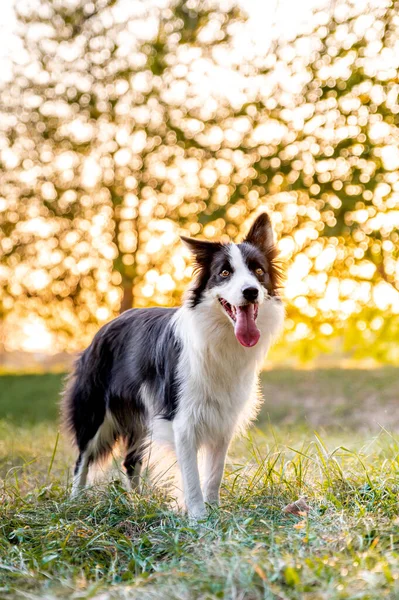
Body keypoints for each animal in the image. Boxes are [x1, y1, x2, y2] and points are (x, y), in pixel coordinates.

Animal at [62, 213, 284, 516]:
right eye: (225, 273)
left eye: (258, 271)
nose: (250, 292)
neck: (219, 337)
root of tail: (107, 325)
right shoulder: (183, 420)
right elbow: (192, 478)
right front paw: (200, 518)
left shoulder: (222, 420)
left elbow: (213, 475)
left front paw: (215, 513)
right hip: (94, 410)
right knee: (82, 458)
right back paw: (75, 502)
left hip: (142, 417)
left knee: (130, 461)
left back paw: (138, 502)